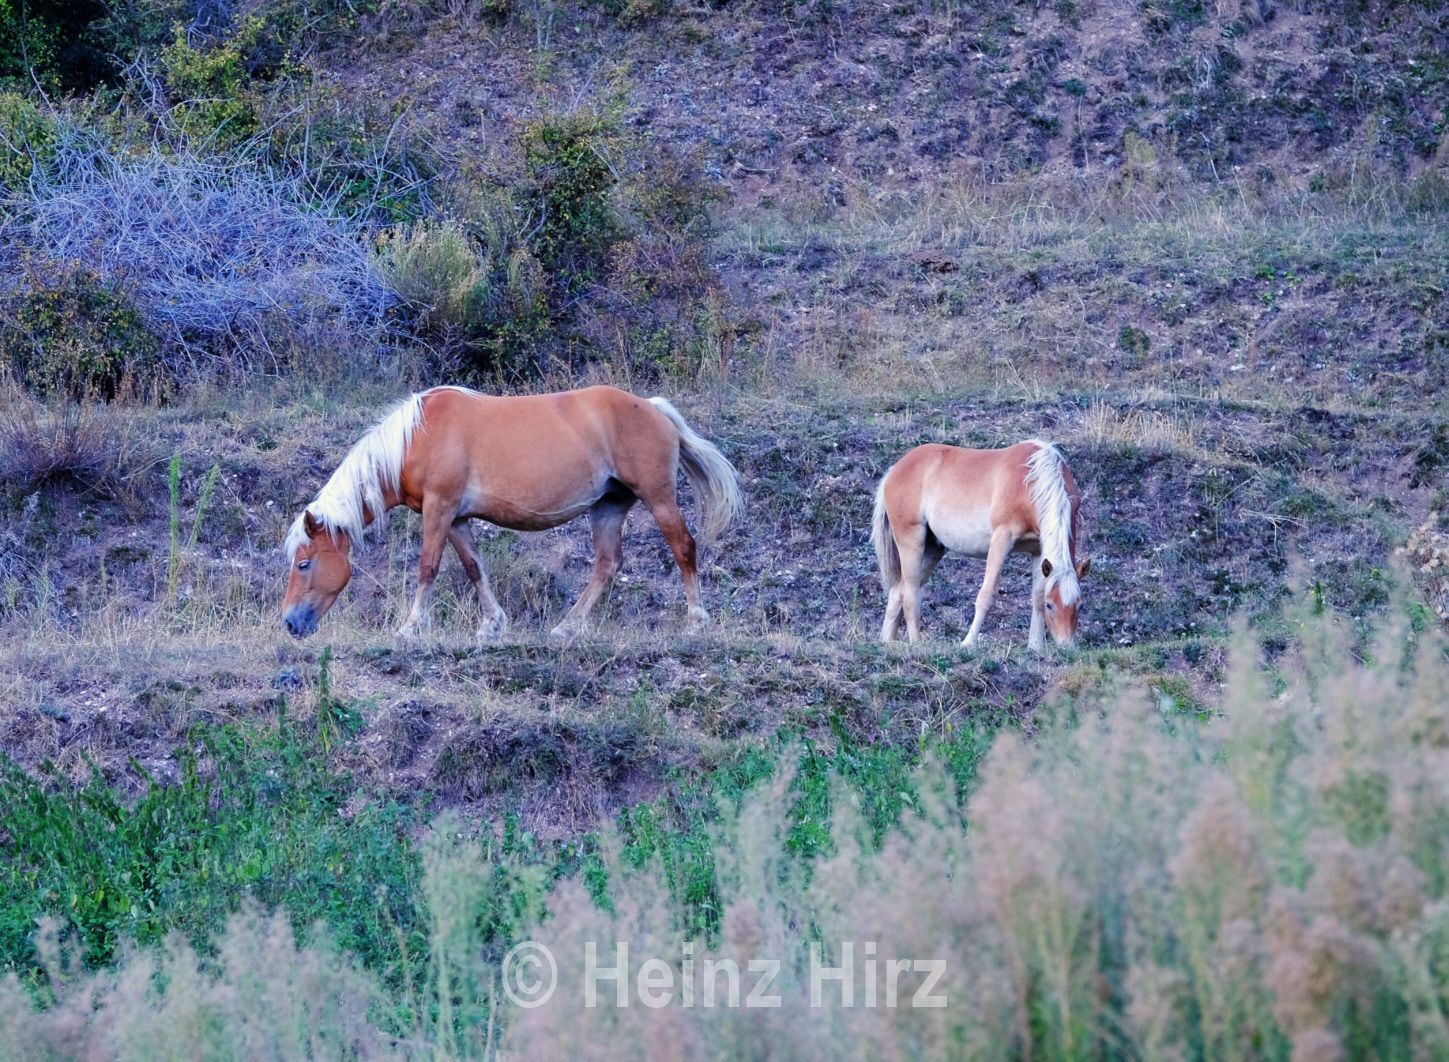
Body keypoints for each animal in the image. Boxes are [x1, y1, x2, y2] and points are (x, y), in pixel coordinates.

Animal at [281, 385, 742, 643]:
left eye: (304, 564)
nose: (290, 623)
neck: (416, 437)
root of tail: (653, 408)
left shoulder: (439, 509)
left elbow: (428, 567)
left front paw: (410, 628)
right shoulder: (456, 518)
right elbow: (473, 568)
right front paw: (492, 625)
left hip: (658, 497)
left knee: (683, 547)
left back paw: (696, 620)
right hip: (609, 506)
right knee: (607, 564)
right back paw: (567, 627)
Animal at [871, 440, 1090, 650]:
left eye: (1079, 606)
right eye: (1051, 605)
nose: (1066, 646)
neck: (1032, 479)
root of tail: (894, 470)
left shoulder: (1038, 549)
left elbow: (1036, 596)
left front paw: (1035, 647)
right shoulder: (1001, 539)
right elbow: (987, 594)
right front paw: (968, 642)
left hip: (933, 550)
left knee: (897, 591)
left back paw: (886, 641)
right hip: (911, 542)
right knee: (910, 594)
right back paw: (916, 643)